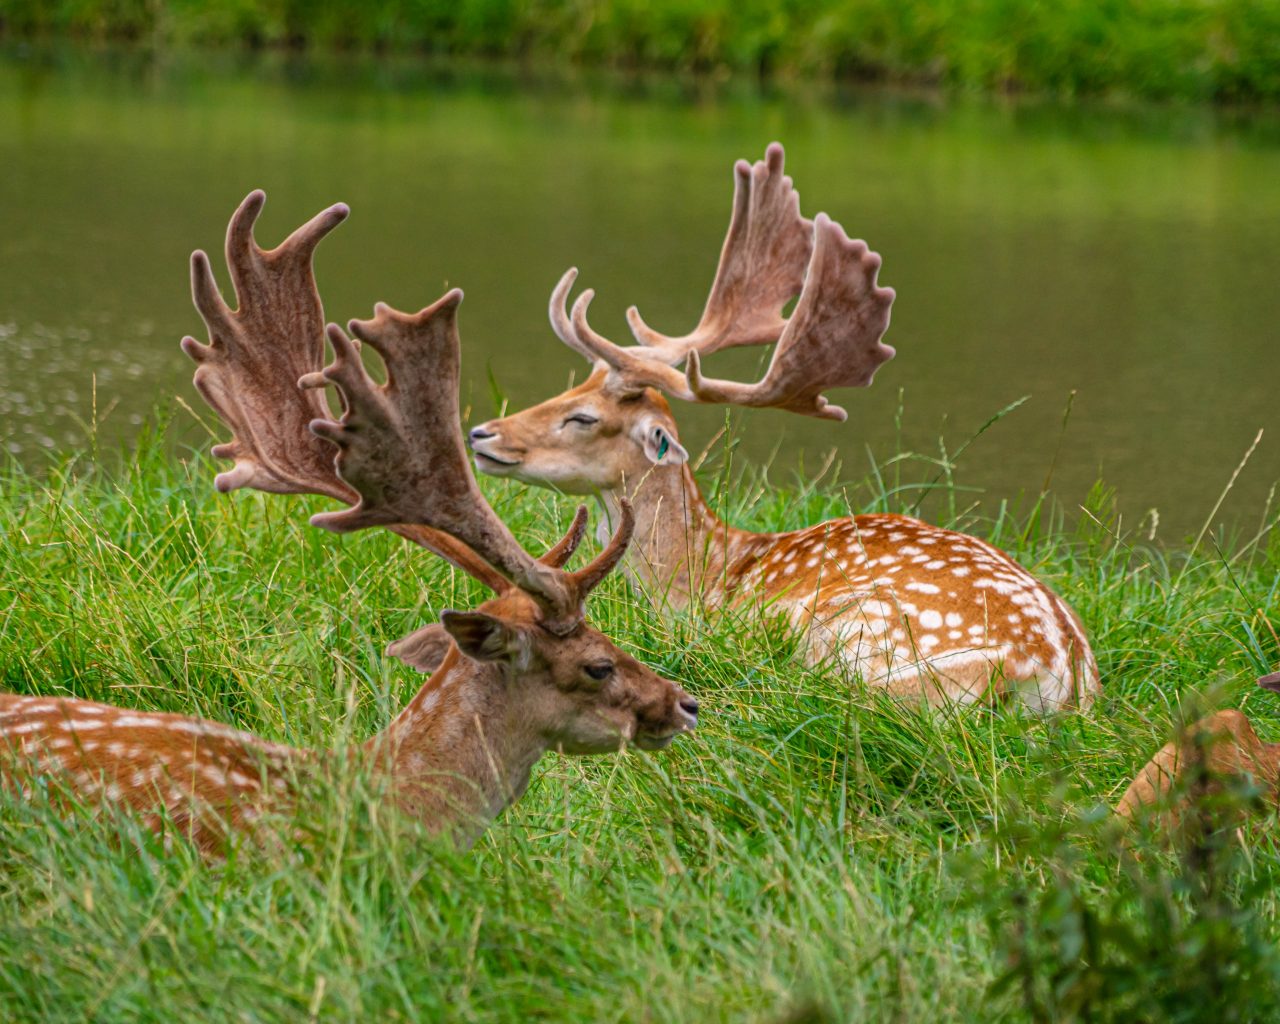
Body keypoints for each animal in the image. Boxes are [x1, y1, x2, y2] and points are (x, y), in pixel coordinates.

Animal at [471, 142, 1100, 711]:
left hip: (848, 628)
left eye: (583, 418)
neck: (704, 571)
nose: (481, 434)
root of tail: (1051, 676)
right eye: (567, 390)